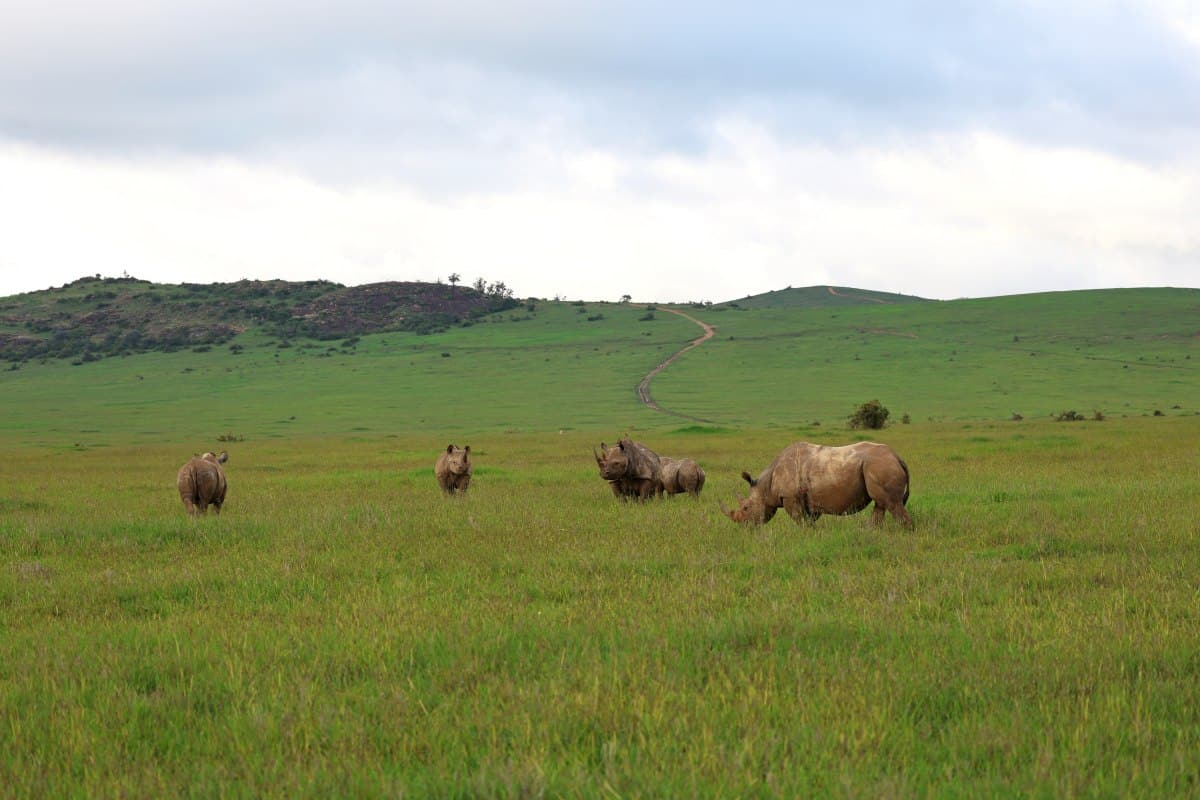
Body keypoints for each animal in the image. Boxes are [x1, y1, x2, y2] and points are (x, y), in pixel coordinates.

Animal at [721, 441, 912, 528]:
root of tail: (897, 457)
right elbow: (809, 521)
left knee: (892, 504)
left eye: (746, 508)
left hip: (880, 466)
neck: (766, 484)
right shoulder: (809, 500)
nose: (744, 526)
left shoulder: (790, 497)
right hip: (878, 466)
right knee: (881, 503)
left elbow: (800, 521)